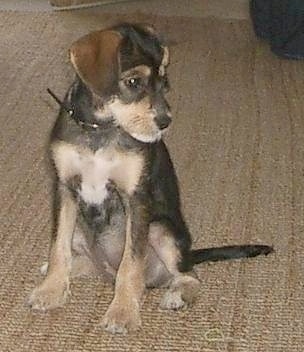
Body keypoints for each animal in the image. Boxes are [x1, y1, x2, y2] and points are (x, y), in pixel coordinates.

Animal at [27, 23, 274, 334]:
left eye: (164, 82)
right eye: (134, 82)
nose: (165, 122)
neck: (100, 130)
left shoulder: (136, 198)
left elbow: (131, 264)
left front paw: (122, 312)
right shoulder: (65, 189)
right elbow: (58, 248)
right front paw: (51, 290)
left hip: (160, 229)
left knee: (188, 275)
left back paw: (177, 295)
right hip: (83, 230)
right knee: (90, 263)